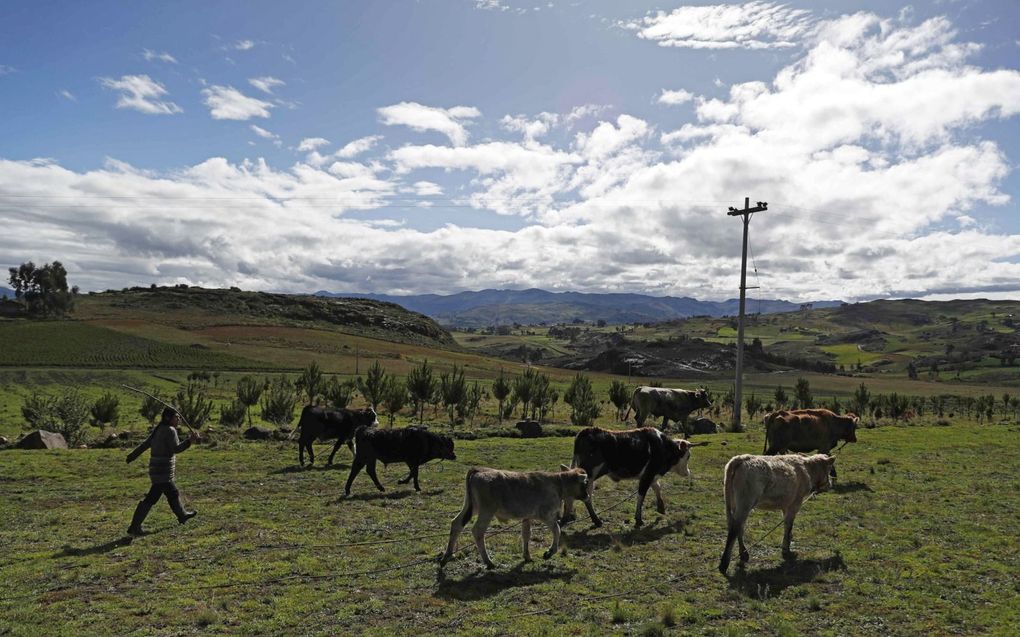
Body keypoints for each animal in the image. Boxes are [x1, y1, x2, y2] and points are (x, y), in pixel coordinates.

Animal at [438, 462, 591, 566]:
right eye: (585, 483)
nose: (588, 495)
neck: (558, 484)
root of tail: (479, 470)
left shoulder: (527, 517)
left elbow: (526, 534)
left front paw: (527, 556)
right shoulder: (546, 515)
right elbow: (557, 530)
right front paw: (549, 552)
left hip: (472, 506)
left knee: (456, 523)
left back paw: (447, 556)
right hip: (486, 511)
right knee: (477, 531)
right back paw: (488, 562)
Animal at [558, 428, 701, 525]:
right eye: (688, 455)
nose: (688, 472)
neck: (663, 446)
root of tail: (586, 431)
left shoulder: (650, 475)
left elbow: (657, 487)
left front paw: (661, 507)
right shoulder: (648, 475)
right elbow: (641, 495)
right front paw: (638, 519)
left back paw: (568, 516)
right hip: (590, 475)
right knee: (586, 497)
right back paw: (596, 520)